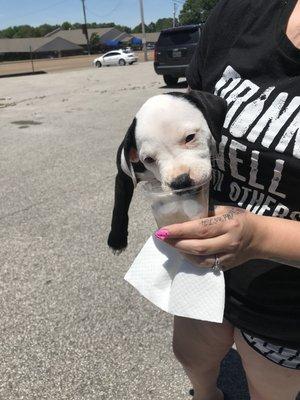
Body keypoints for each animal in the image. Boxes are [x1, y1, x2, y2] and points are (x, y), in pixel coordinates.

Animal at [108, 92, 227, 252]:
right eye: (148, 159)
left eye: (190, 137)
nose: (181, 181)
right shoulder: (123, 176)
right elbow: (119, 204)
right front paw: (116, 239)